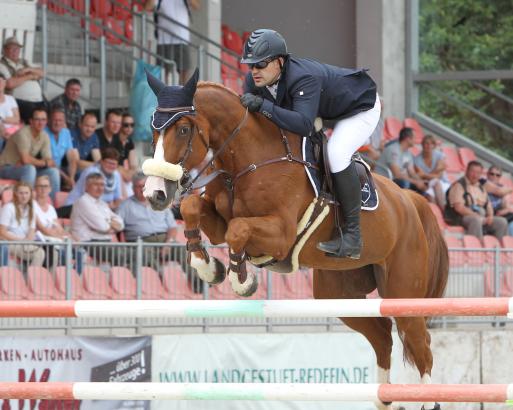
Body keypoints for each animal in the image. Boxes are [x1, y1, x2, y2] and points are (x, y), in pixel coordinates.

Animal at [142, 72, 446, 408]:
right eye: (153, 130)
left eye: (183, 129)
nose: (155, 194)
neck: (248, 158)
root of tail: (411, 200)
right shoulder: (219, 222)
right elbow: (193, 208)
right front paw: (208, 267)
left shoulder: (281, 234)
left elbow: (238, 229)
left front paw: (242, 280)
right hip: (337, 295)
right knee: (381, 335)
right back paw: (385, 398)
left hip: (403, 291)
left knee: (420, 342)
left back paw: (425, 399)